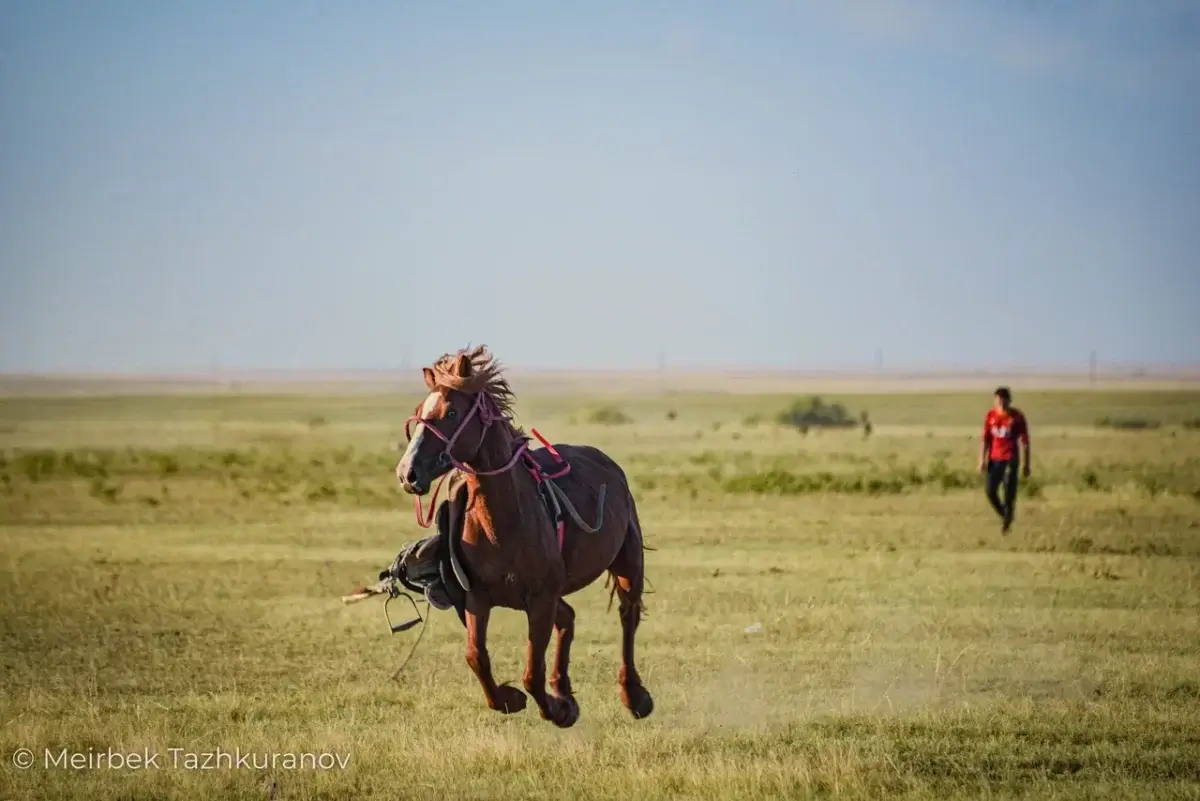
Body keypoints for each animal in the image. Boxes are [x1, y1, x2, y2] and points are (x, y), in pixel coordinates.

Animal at [398, 345, 652, 724]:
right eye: (419, 412)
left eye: (452, 411)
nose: (407, 473)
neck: (503, 524)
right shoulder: (478, 599)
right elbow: (476, 657)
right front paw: (514, 699)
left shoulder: (541, 599)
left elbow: (532, 672)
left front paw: (558, 710)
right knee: (570, 619)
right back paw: (564, 688)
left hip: (627, 564)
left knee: (627, 618)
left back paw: (633, 696)